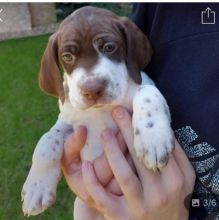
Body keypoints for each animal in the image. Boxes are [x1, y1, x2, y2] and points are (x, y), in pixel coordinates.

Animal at [21, 6, 174, 219]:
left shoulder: (146, 83)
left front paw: (152, 140)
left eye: (109, 47)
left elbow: (147, 92)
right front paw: (36, 187)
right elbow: (47, 141)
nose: (92, 89)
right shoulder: (69, 123)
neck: (100, 110)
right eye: (67, 57)